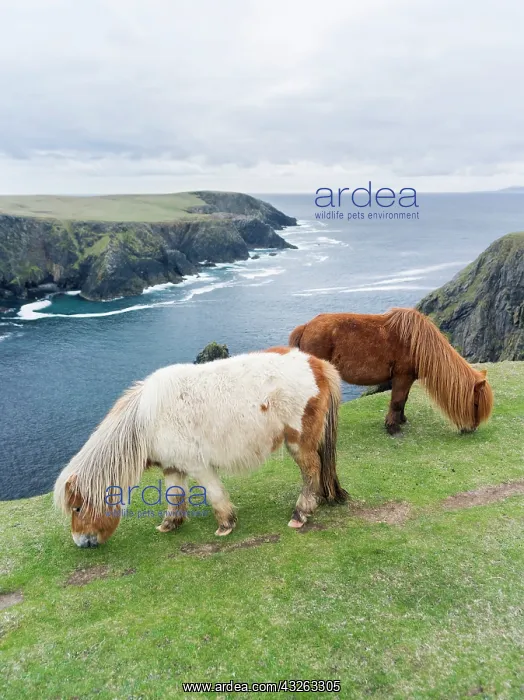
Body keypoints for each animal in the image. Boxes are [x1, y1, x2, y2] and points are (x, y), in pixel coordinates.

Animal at [54, 347, 348, 547]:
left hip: (299, 443)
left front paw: (225, 525)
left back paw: (301, 512)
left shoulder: (198, 466)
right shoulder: (172, 467)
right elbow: (174, 496)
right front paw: (169, 524)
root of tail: (318, 364)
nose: (81, 542)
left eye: (77, 508)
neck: (146, 421)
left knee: (311, 471)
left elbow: (214, 494)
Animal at [289, 308, 493, 435]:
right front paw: (392, 428)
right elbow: (396, 401)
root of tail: (306, 327)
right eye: (475, 404)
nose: (471, 429)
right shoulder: (402, 377)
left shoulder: (407, 378)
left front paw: (401, 420)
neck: (419, 343)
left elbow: (403, 400)